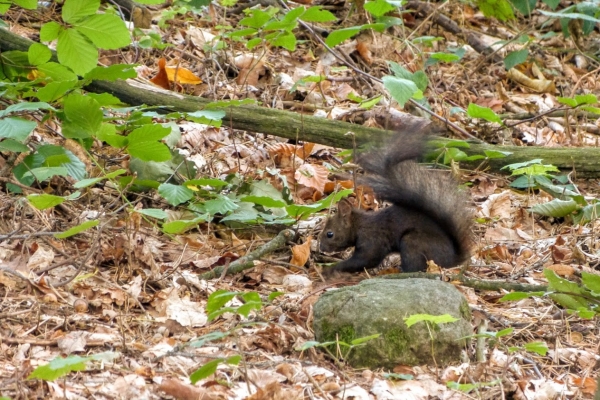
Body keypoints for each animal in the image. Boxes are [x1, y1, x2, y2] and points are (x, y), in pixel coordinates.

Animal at [318, 122, 474, 272]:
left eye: (330, 234)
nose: (321, 248)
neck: (360, 225)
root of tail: (452, 260)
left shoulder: (372, 240)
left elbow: (366, 260)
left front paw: (332, 269)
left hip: (412, 242)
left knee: (415, 269)